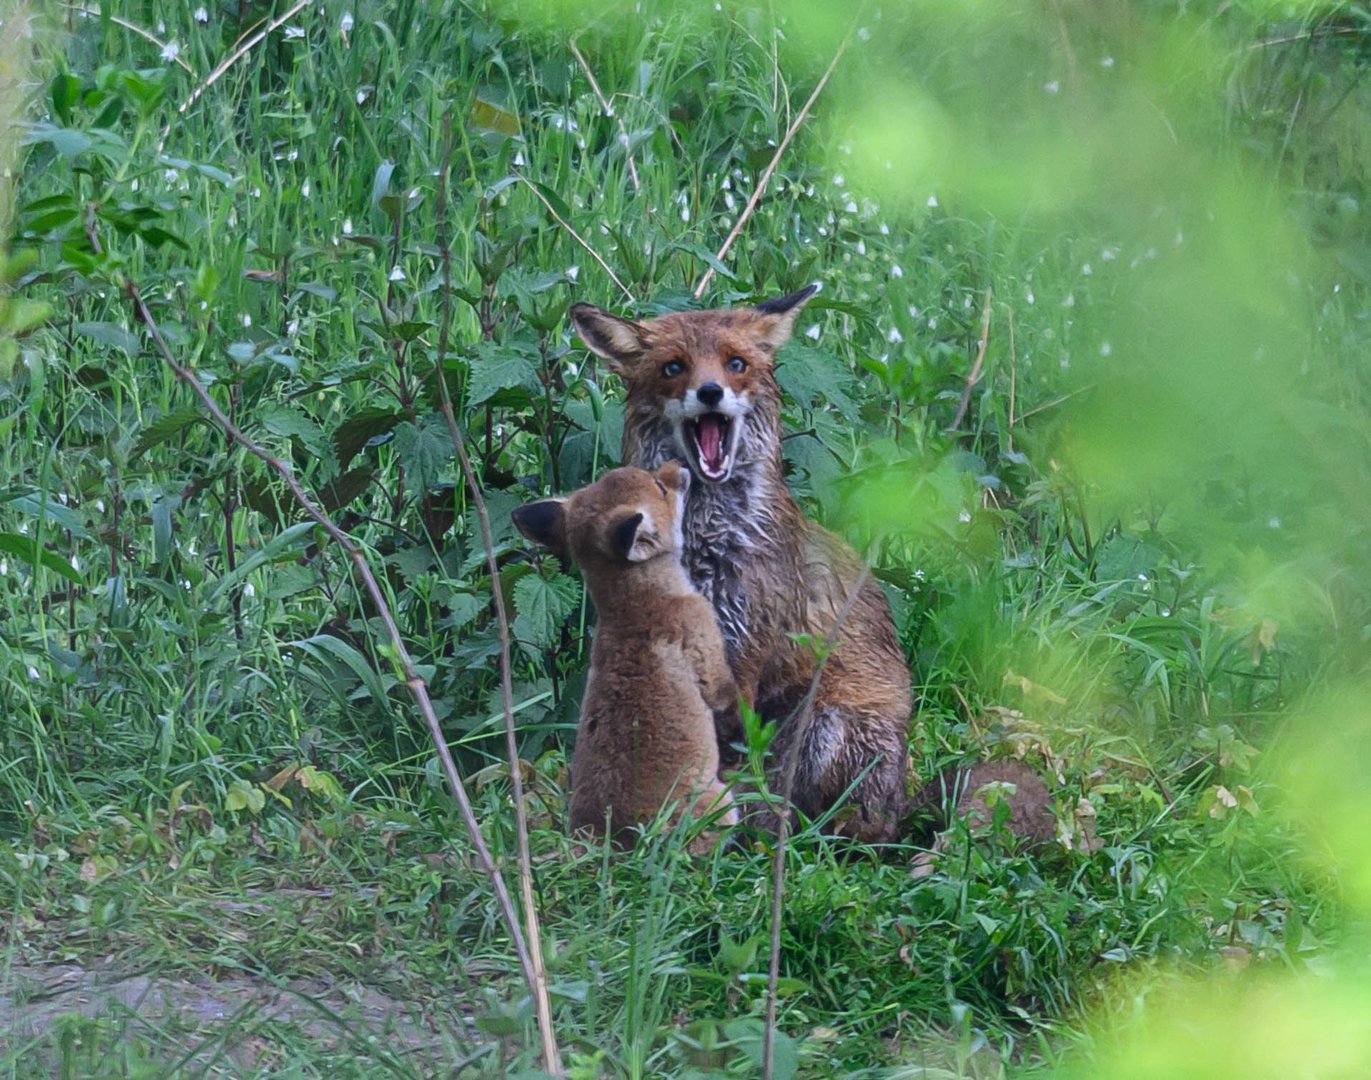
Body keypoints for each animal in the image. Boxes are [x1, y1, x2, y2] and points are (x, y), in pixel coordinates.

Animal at [567, 289, 910, 844]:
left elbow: (726, 750)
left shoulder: (743, 647)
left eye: (736, 364)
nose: (710, 392)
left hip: (833, 725)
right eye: (673, 367)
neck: (706, 547)